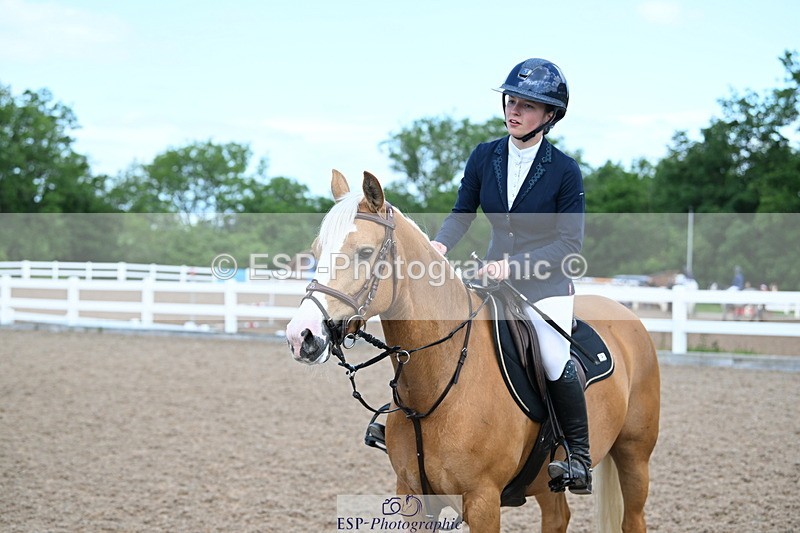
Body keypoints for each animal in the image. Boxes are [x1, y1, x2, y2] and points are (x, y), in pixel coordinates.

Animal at [286, 170, 661, 533]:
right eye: (316, 252)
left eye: (364, 252)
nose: (301, 336)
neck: (437, 385)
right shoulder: (413, 497)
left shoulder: (483, 501)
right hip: (546, 480)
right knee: (557, 518)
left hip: (634, 455)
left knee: (633, 518)